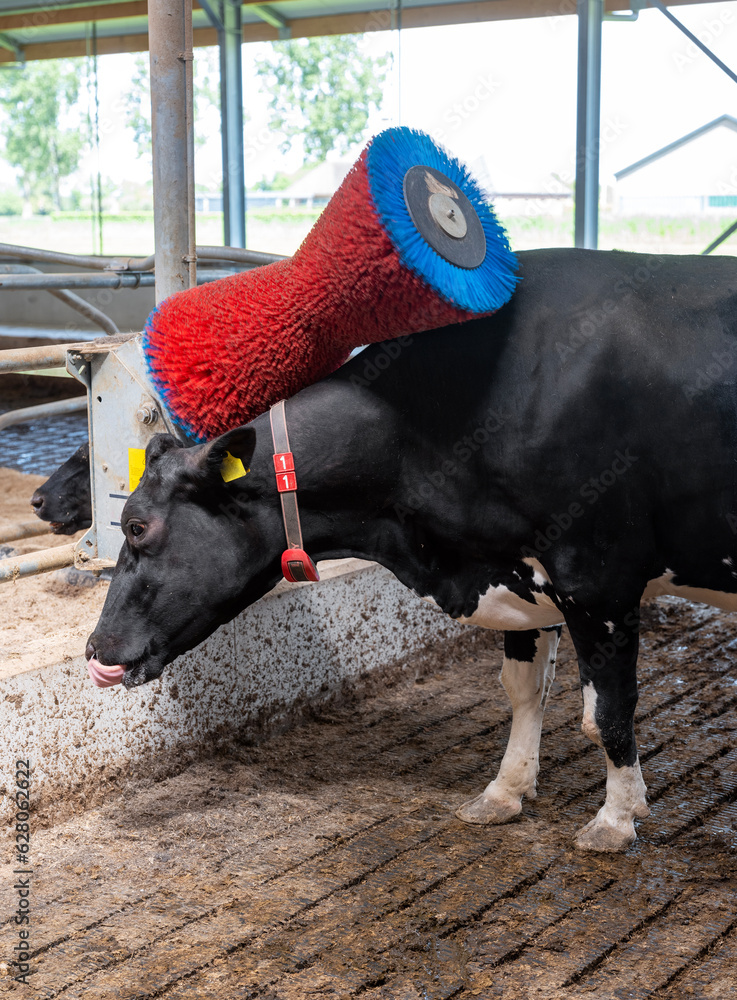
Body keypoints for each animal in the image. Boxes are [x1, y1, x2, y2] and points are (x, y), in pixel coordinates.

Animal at [86, 247, 737, 853]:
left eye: (136, 526)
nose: (94, 650)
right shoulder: (518, 573)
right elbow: (523, 690)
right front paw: (504, 791)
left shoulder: (599, 578)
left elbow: (607, 714)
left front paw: (616, 819)